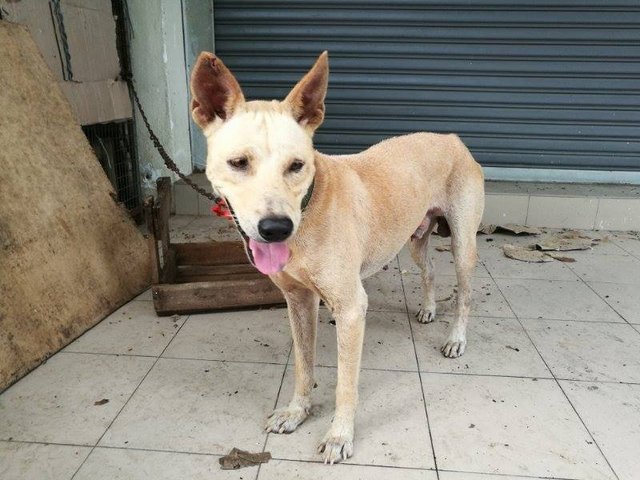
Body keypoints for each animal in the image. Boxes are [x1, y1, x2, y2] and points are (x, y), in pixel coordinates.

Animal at [190, 50, 484, 464]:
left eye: (297, 165)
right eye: (238, 163)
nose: (276, 228)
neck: (308, 210)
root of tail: (452, 138)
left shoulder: (350, 308)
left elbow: (346, 385)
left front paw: (339, 435)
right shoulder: (298, 301)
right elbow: (303, 364)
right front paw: (297, 412)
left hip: (463, 244)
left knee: (465, 294)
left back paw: (456, 339)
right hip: (413, 236)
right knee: (427, 270)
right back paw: (428, 309)